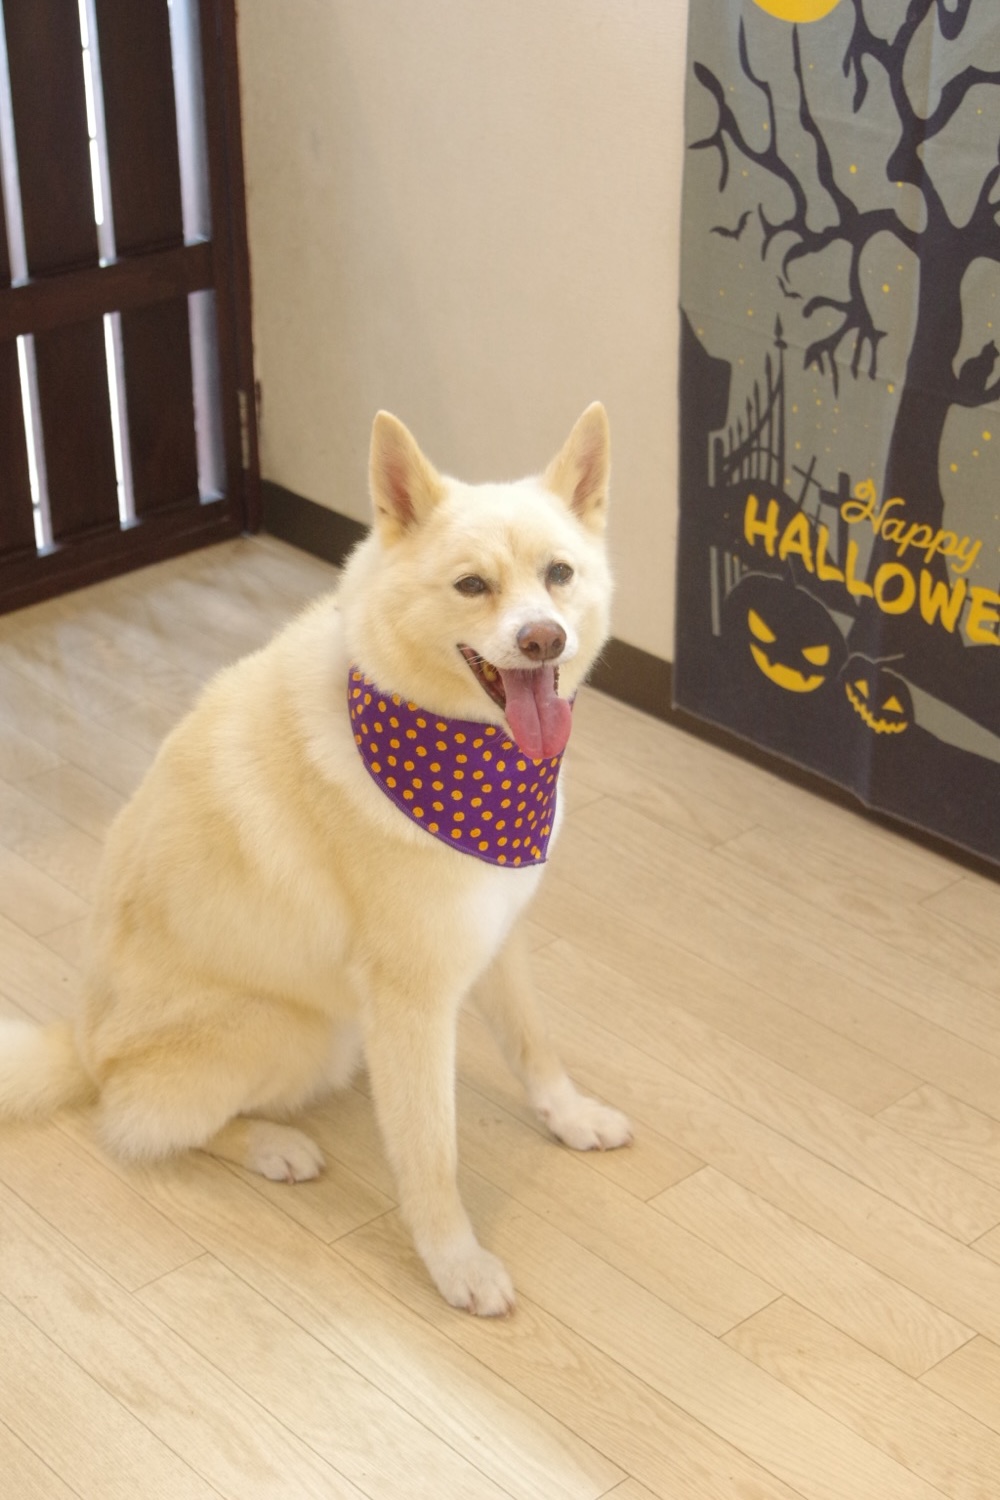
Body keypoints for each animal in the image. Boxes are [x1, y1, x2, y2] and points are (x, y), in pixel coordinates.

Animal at [0, 404, 631, 1315]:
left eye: (559, 575)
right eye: (472, 587)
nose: (543, 639)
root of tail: (84, 1042)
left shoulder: (495, 934)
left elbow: (532, 1047)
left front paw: (570, 1117)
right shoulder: (415, 994)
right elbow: (430, 1153)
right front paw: (454, 1261)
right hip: (293, 1032)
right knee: (138, 1121)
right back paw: (270, 1144)